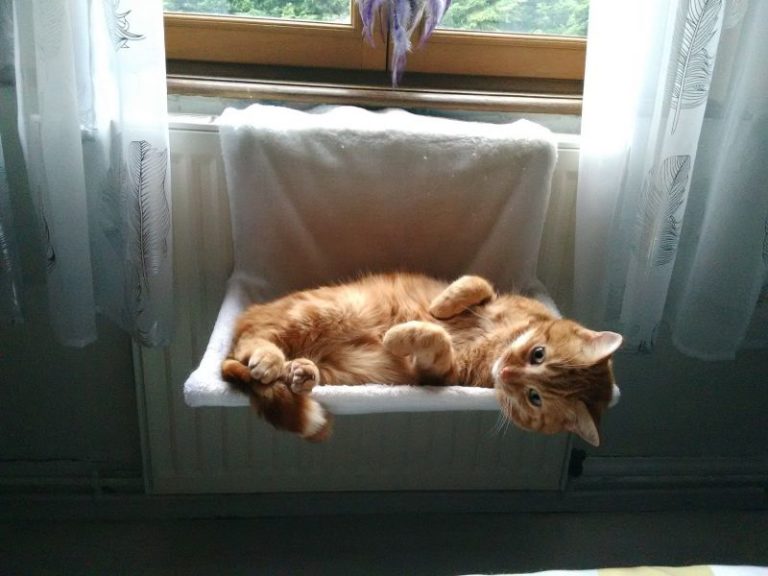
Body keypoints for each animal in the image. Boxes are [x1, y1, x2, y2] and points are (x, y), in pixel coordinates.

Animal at [222, 272, 624, 444]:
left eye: (534, 397)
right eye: (538, 354)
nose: (508, 371)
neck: (497, 345)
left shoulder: (440, 374)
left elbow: (435, 339)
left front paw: (397, 335)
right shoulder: (494, 295)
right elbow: (474, 285)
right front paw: (441, 305)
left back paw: (298, 371)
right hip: (327, 310)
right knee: (250, 340)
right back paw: (272, 360)